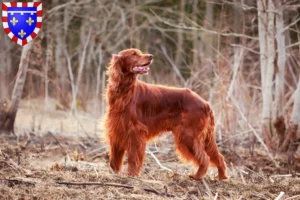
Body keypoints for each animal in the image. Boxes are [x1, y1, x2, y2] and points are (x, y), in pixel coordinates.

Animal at [105, 48, 227, 181]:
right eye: (133, 54)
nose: (151, 56)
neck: (124, 91)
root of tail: (205, 103)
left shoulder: (135, 132)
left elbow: (133, 157)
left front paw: (131, 174)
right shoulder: (116, 130)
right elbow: (114, 159)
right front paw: (114, 173)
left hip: (188, 135)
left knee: (205, 158)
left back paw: (197, 176)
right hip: (203, 138)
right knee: (218, 156)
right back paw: (222, 176)